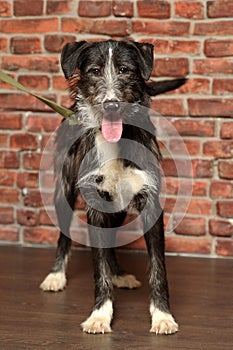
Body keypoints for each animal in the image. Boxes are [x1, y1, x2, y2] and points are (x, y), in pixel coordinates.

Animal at [39, 39, 186, 334]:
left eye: (124, 69)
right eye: (95, 71)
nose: (111, 105)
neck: (118, 141)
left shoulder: (150, 203)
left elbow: (158, 269)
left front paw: (162, 315)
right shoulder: (95, 205)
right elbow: (99, 268)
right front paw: (100, 314)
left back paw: (119, 274)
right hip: (65, 191)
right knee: (64, 236)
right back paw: (56, 275)